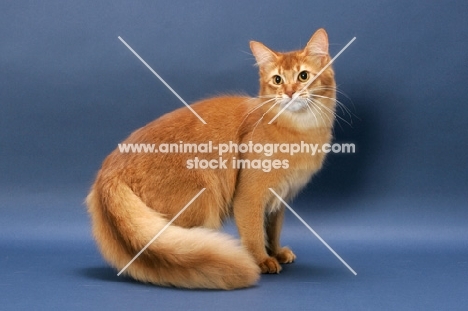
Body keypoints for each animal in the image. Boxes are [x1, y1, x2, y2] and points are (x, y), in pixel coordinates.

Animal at [86, 28, 336, 292]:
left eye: (303, 76)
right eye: (277, 80)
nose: (289, 92)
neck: (301, 130)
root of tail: (109, 170)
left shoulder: (279, 200)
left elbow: (273, 230)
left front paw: (276, 252)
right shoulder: (250, 196)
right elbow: (254, 233)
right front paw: (261, 260)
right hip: (203, 196)